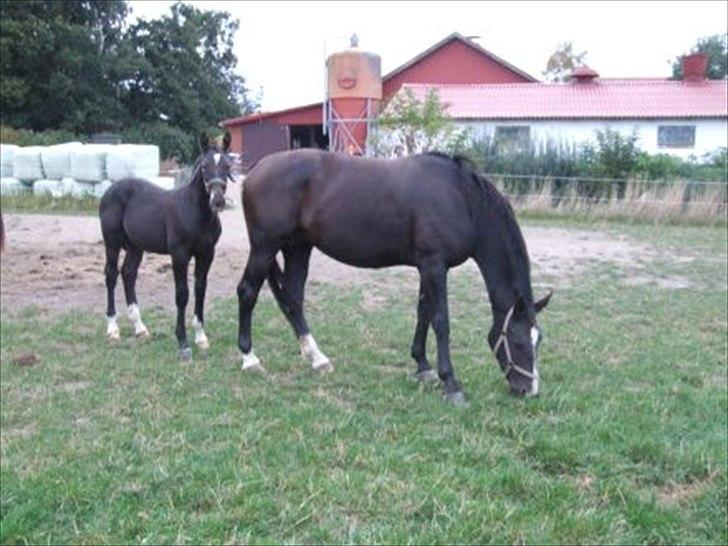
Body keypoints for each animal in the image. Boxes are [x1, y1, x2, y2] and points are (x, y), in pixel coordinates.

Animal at [239, 147, 552, 402]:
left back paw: (317, 359)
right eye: (519, 341)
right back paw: (250, 359)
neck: (460, 199)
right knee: (247, 292)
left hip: (298, 247)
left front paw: (423, 367)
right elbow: (441, 321)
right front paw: (451, 383)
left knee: (293, 298)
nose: (529, 390)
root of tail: (258, 166)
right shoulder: (435, 264)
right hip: (265, 247)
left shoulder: (428, 266)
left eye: (539, 340)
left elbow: (423, 311)